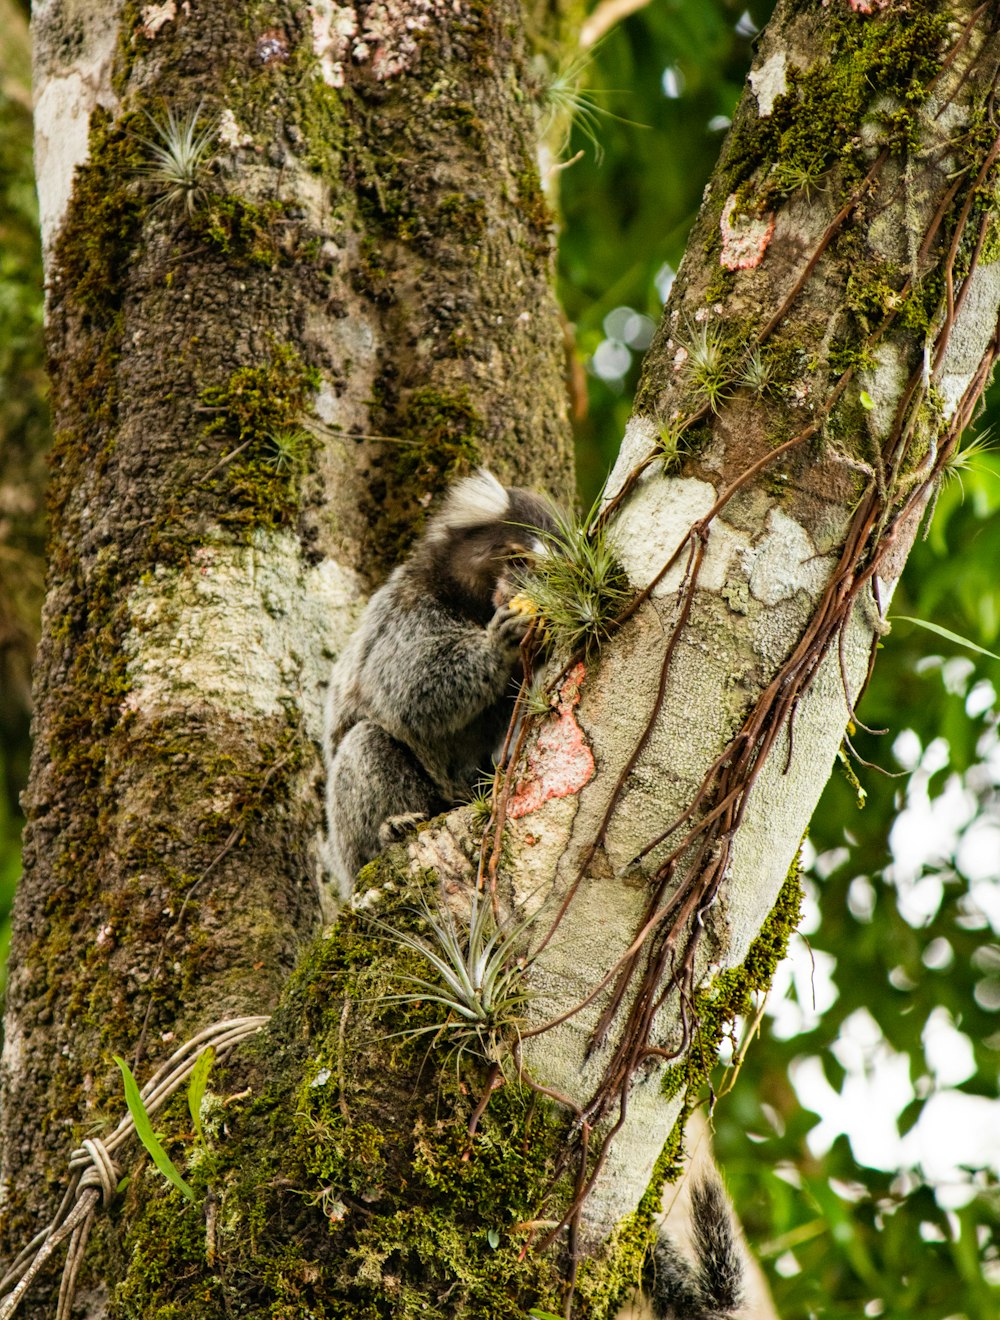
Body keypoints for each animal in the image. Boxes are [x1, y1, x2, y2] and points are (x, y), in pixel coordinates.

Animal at [324, 467, 556, 897]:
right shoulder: (409, 609)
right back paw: (391, 831)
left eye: (546, 574)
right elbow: (407, 692)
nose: (521, 588)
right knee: (367, 742)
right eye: (518, 559)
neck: (475, 607)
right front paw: (496, 645)